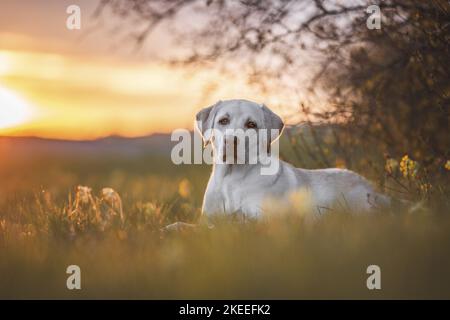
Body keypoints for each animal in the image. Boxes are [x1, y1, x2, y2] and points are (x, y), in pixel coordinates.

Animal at [197, 99, 390, 219]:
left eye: (251, 124)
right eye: (223, 121)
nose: (231, 140)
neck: (232, 178)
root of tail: (373, 188)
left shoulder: (260, 220)